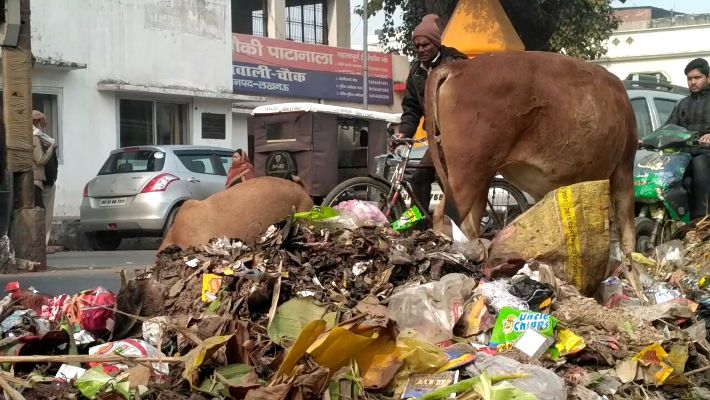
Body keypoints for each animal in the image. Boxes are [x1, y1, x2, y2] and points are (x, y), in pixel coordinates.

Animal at [426, 51, 636, 255]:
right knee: (447, 215)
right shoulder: (623, 168)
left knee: (467, 222)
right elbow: (626, 231)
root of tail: (458, 67)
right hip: (467, 174)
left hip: (479, 176)